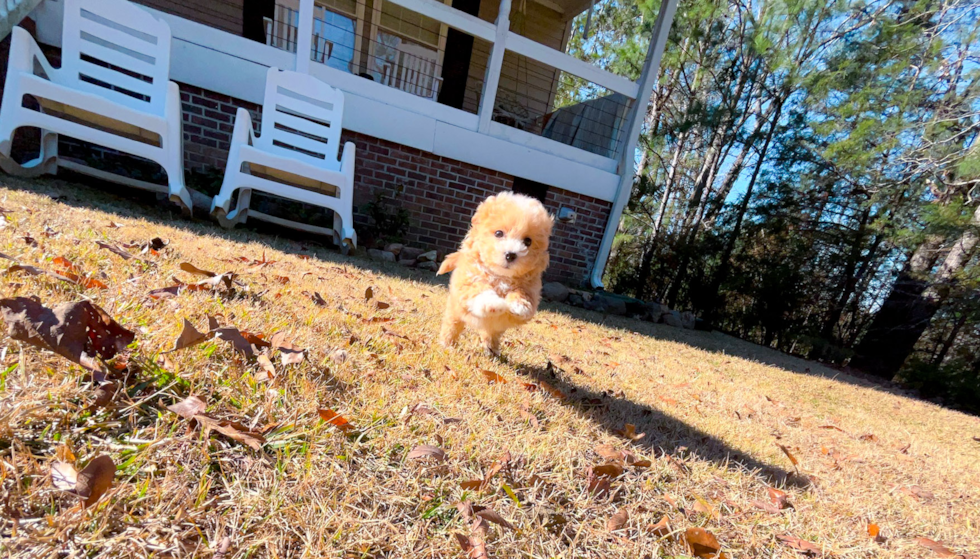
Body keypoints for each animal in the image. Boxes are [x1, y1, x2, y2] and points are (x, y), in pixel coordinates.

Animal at [436, 190, 552, 352]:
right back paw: (447, 344)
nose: (511, 254)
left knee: (491, 335)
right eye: (498, 233)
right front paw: (493, 304)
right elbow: (480, 291)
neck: (501, 276)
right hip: (455, 311)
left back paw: (491, 350)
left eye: (528, 241)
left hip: (495, 329)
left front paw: (520, 305)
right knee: (452, 326)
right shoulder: (468, 280)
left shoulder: (530, 288)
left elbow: (523, 295)